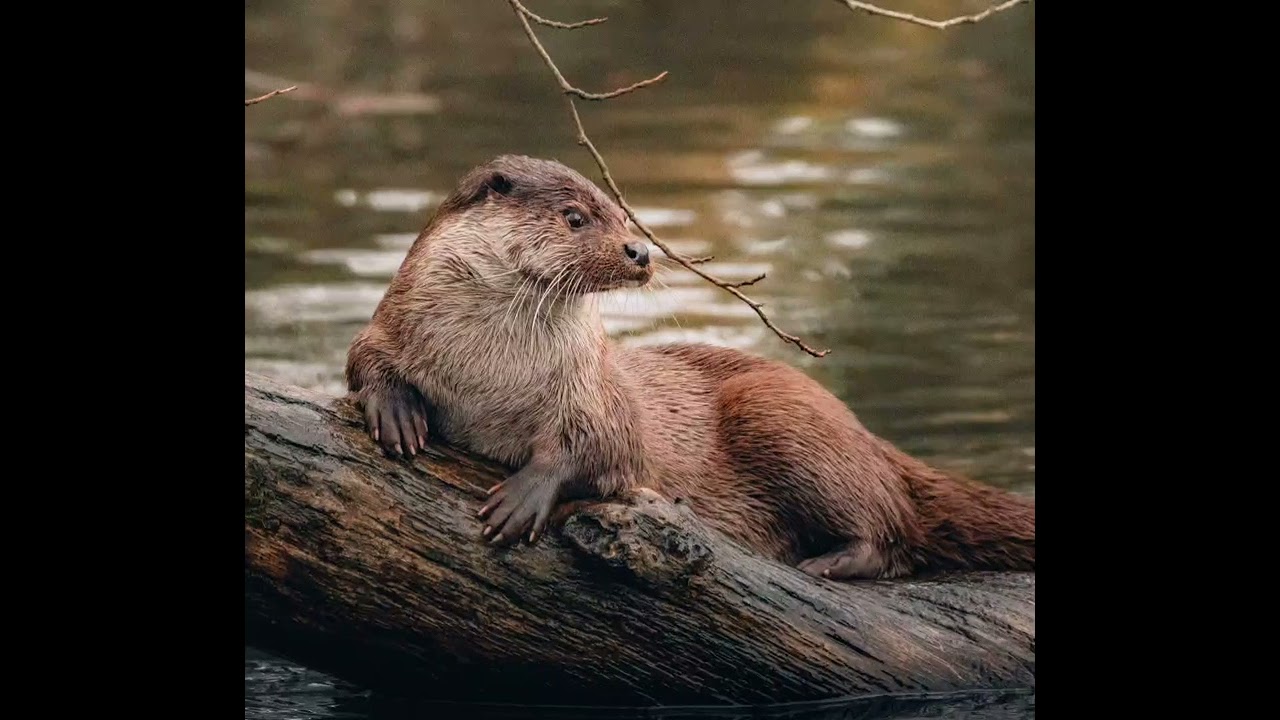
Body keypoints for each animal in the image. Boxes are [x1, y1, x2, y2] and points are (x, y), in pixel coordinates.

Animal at [345, 154, 1034, 580]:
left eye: (622, 214)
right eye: (576, 217)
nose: (640, 251)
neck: (489, 374)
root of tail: (866, 434)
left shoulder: (596, 392)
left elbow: (605, 447)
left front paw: (525, 493)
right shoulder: (393, 324)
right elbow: (362, 356)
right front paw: (397, 410)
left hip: (782, 414)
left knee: (896, 530)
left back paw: (832, 562)